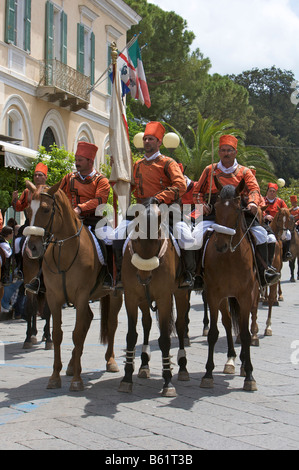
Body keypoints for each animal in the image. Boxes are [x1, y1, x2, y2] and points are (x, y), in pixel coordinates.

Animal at [23, 182, 122, 392]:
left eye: (45, 209)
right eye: (28, 210)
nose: (32, 248)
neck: (65, 252)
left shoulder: (82, 295)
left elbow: (76, 334)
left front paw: (77, 380)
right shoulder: (54, 298)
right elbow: (58, 334)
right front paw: (55, 377)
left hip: (114, 296)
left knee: (110, 324)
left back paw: (110, 361)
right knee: (88, 320)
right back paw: (71, 364)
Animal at [119, 204, 190, 398]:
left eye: (157, 241)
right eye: (135, 241)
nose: (144, 277)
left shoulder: (164, 298)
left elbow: (165, 339)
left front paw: (168, 381)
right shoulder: (131, 297)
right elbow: (131, 336)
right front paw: (127, 378)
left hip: (181, 293)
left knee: (180, 325)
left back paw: (182, 367)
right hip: (144, 299)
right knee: (147, 323)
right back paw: (144, 364)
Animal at [203, 180, 258, 392]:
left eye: (237, 209)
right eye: (216, 208)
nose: (220, 245)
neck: (230, 259)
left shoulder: (245, 296)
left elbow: (245, 334)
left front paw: (249, 375)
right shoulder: (213, 295)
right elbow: (213, 333)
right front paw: (208, 374)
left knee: (243, 326)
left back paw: (242, 363)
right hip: (224, 298)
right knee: (227, 323)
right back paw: (231, 359)